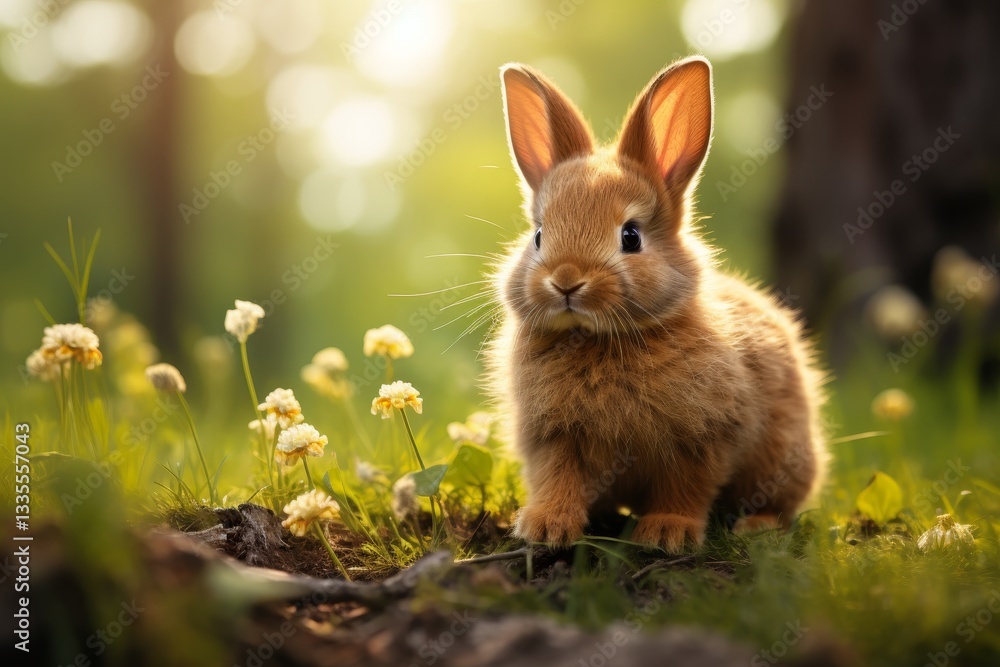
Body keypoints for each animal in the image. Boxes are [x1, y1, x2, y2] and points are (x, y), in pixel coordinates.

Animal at [484, 56, 828, 552]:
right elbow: (558, 479)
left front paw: (668, 532)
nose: (565, 281)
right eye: (539, 236)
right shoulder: (553, 438)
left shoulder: (701, 439)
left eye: (631, 236)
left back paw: (756, 528)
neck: (599, 340)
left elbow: (685, 486)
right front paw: (546, 526)